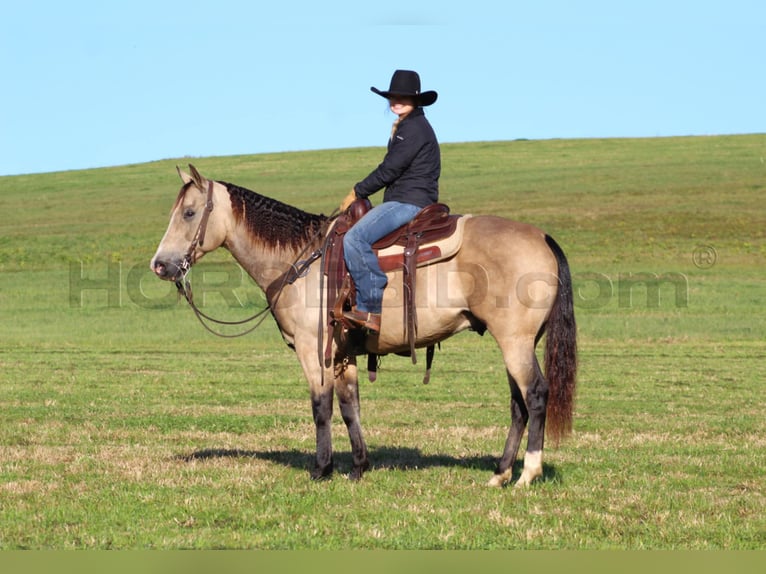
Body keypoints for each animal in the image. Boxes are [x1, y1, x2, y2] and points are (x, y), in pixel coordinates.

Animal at [150, 164, 576, 488]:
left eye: (189, 213)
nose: (161, 265)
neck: (301, 261)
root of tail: (542, 237)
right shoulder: (344, 355)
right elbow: (349, 407)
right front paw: (358, 467)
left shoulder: (313, 351)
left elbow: (321, 407)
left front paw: (322, 470)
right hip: (517, 343)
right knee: (518, 405)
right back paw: (500, 474)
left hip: (515, 342)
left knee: (535, 394)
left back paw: (527, 474)